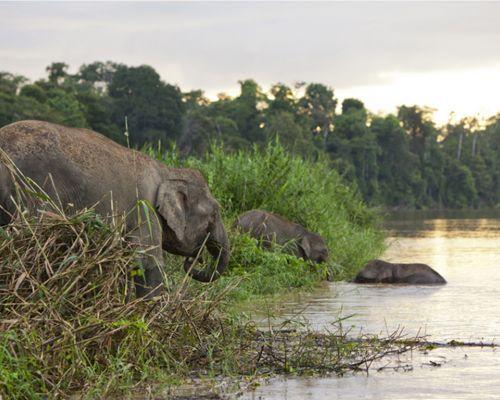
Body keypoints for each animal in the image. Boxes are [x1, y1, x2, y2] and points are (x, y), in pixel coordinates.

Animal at [0, 120, 230, 298]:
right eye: (214, 214)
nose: (194, 260)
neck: (167, 171)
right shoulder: (144, 209)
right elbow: (147, 262)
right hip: (32, 193)